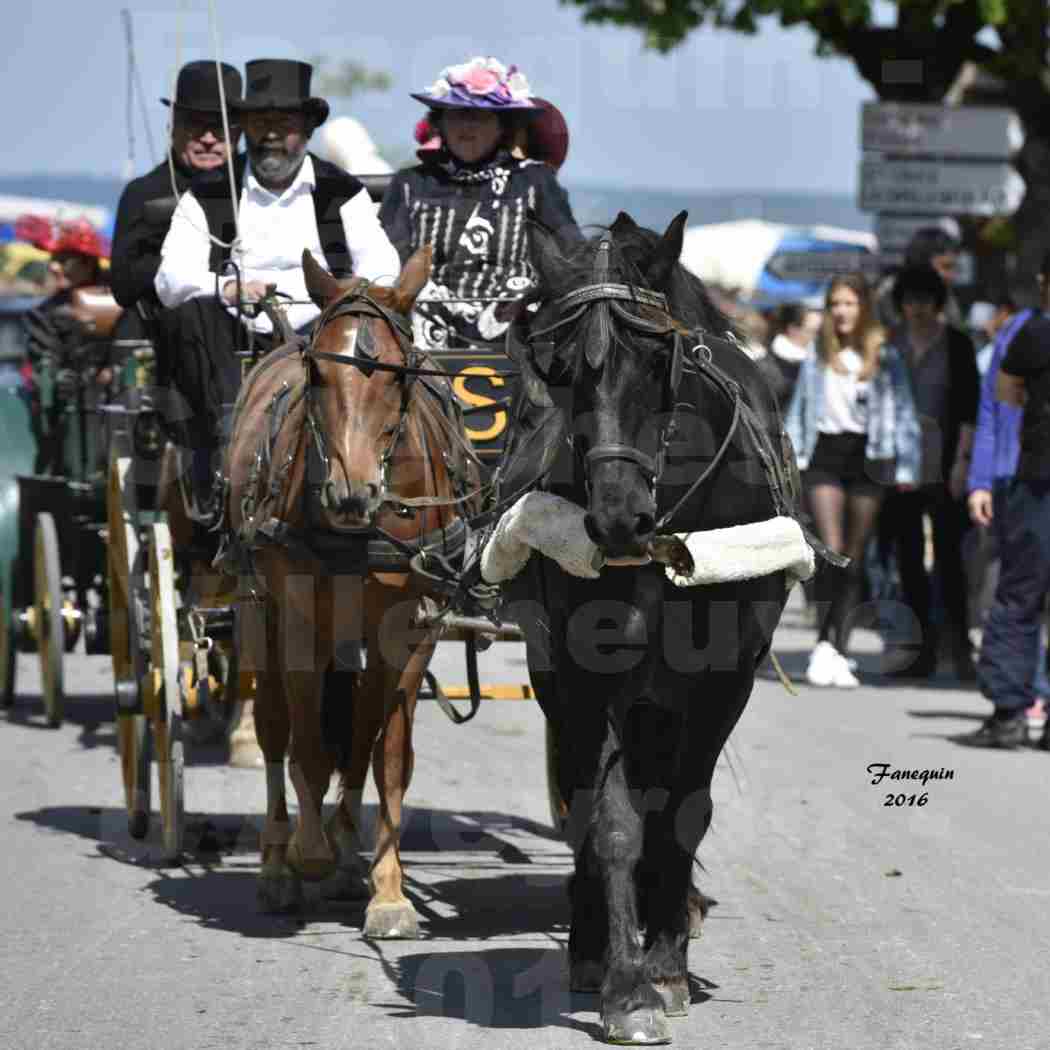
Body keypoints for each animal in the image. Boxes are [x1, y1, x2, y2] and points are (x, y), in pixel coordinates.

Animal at [225, 245, 480, 936]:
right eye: (317, 375)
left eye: (398, 376)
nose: (351, 494)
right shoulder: (299, 623)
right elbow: (309, 746)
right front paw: (309, 853)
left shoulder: (409, 625)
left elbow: (384, 751)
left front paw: (386, 890)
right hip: (258, 612)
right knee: (274, 729)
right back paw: (278, 862)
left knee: (357, 730)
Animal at [503, 211, 797, 1041]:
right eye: (560, 366)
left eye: (656, 358)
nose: (615, 518)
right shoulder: (583, 671)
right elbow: (609, 820)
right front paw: (626, 986)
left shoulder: (726, 678)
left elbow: (685, 810)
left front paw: (665, 963)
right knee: (582, 792)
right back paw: (591, 940)